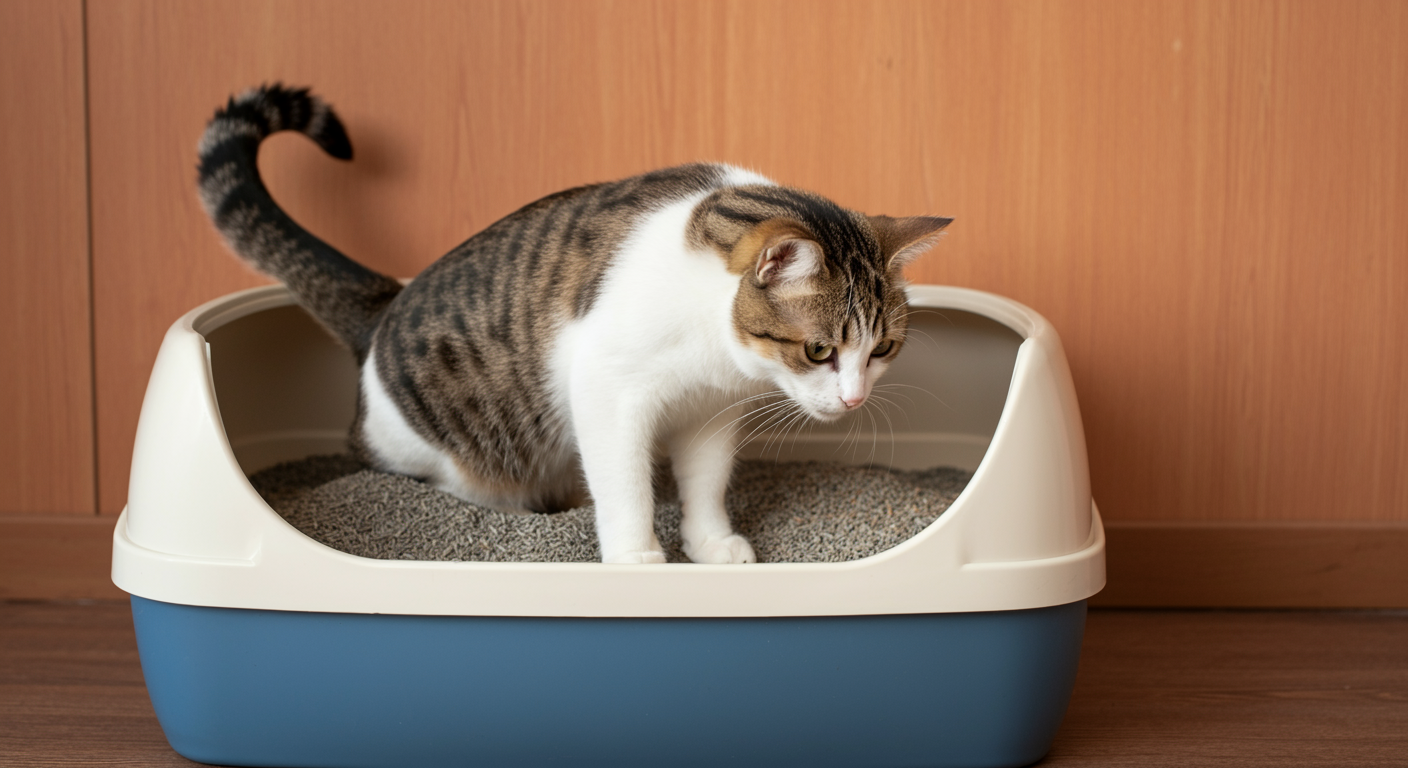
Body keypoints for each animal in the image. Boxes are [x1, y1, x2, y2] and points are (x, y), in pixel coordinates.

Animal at [195, 85, 946, 563]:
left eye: (882, 348)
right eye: (818, 350)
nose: (854, 399)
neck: (714, 343)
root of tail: (386, 309)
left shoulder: (711, 411)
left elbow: (705, 483)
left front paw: (708, 545)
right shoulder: (608, 388)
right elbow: (625, 482)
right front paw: (638, 558)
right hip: (440, 453)